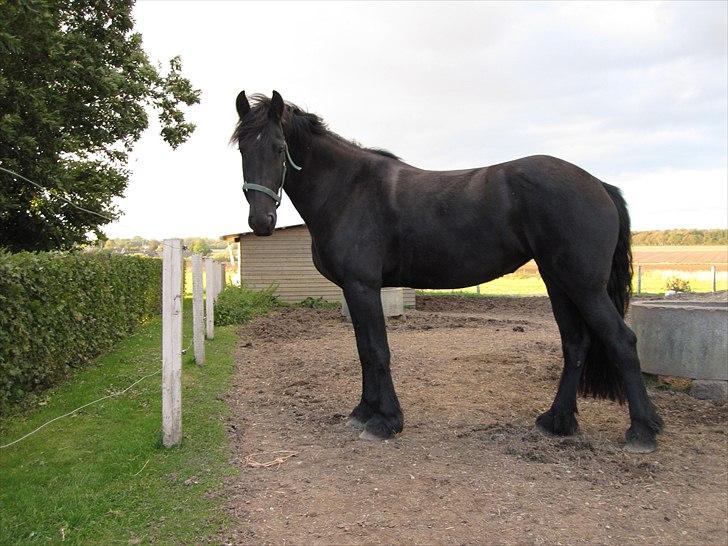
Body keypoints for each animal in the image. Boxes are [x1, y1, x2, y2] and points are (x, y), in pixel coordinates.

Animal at [233, 91, 664, 452]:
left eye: (279, 147)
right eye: (242, 149)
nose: (261, 221)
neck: (349, 189)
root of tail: (598, 184)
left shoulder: (363, 286)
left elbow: (377, 350)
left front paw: (386, 421)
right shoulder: (353, 291)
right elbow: (363, 351)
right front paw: (363, 412)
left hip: (584, 285)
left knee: (621, 341)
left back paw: (642, 430)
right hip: (559, 282)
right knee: (576, 344)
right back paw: (556, 422)